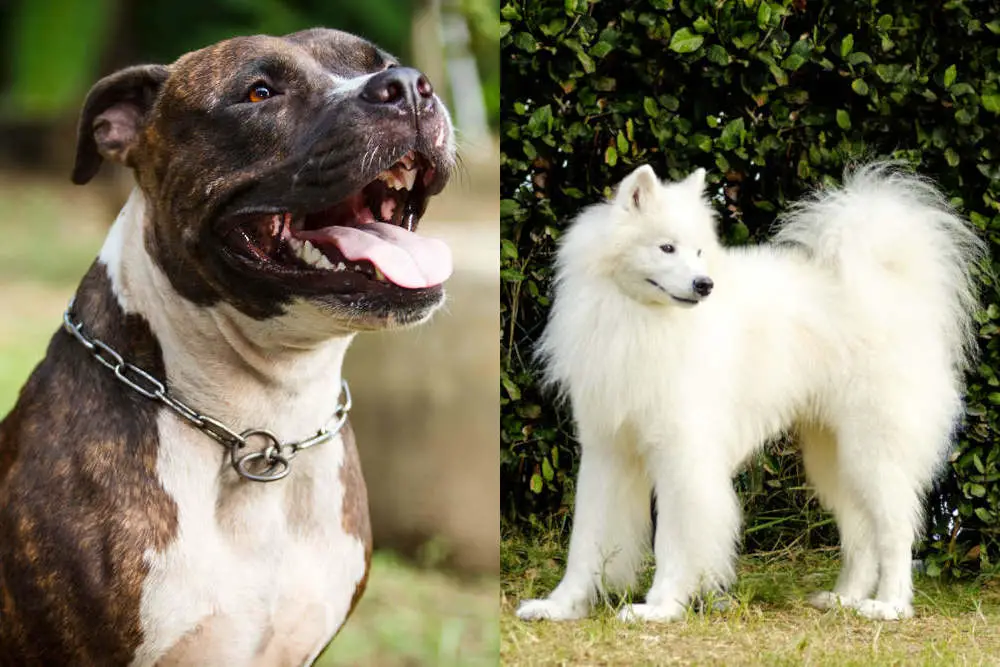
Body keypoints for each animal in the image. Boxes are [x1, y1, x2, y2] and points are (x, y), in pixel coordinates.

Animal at [516, 164, 984, 624]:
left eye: (699, 252)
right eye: (667, 248)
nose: (704, 285)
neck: (641, 318)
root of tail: (892, 287)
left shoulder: (683, 455)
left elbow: (674, 541)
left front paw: (660, 607)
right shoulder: (606, 451)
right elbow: (585, 541)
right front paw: (560, 606)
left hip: (873, 453)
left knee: (896, 530)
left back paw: (889, 606)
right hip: (834, 459)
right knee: (861, 535)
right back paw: (843, 599)